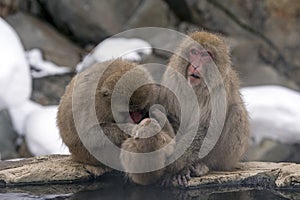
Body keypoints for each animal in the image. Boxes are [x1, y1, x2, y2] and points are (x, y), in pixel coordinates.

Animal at [120, 31, 250, 186]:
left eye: (206, 54)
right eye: (194, 52)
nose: (196, 65)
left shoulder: (219, 89)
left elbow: (206, 127)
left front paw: (176, 167)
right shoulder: (173, 78)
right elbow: (173, 116)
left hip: (229, 157)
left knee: (236, 111)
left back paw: (204, 165)